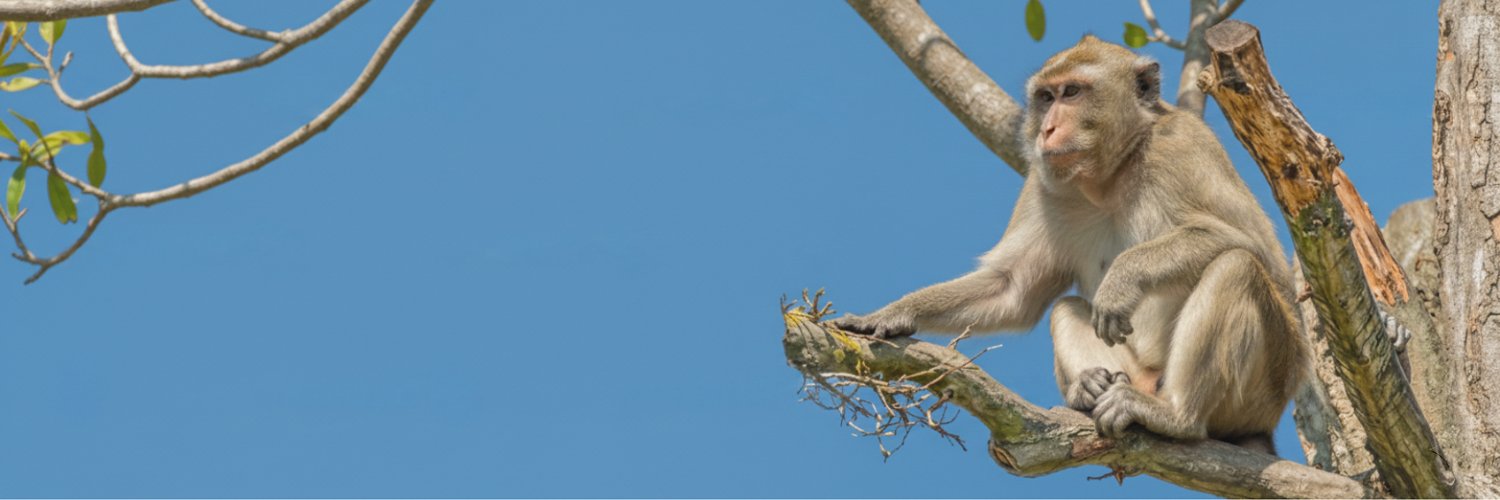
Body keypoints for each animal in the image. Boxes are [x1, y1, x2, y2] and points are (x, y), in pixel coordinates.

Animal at [829, 35, 1310, 454]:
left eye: (1073, 92)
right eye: (1046, 97)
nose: (1048, 129)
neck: (1110, 178)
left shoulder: (1182, 148)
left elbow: (1251, 245)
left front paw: (1124, 277)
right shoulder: (1042, 186)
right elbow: (1012, 290)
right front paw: (891, 314)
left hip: (1260, 394)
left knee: (1236, 267)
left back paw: (1176, 416)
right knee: (1066, 308)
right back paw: (1091, 388)